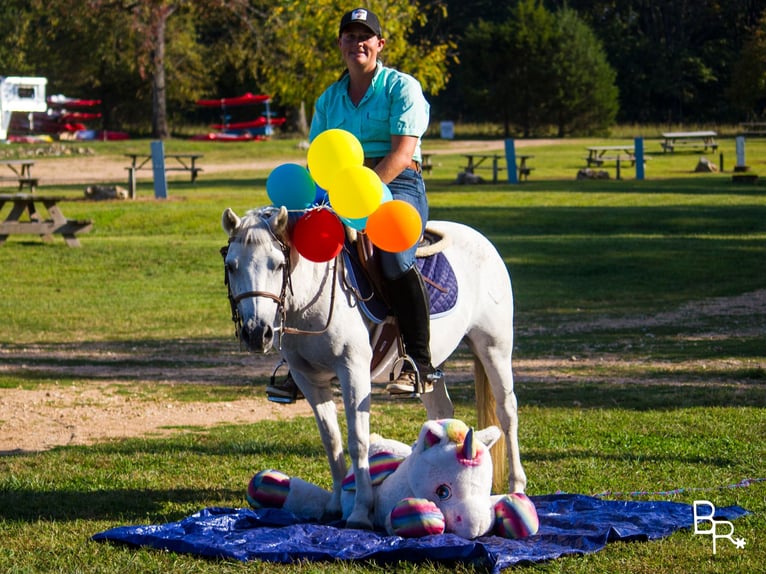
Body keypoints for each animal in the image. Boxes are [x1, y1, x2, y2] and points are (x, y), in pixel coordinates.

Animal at [219, 206, 524, 532]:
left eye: (277, 265)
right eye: (231, 265)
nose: (256, 333)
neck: (310, 298)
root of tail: (479, 238)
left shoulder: (352, 370)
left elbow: (358, 441)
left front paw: (361, 511)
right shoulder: (308, 379)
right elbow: (331, 440)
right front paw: (335, 504)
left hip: (493, 347)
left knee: (507, 412)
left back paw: (517, 488)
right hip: (433, 364)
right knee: (441, 409)